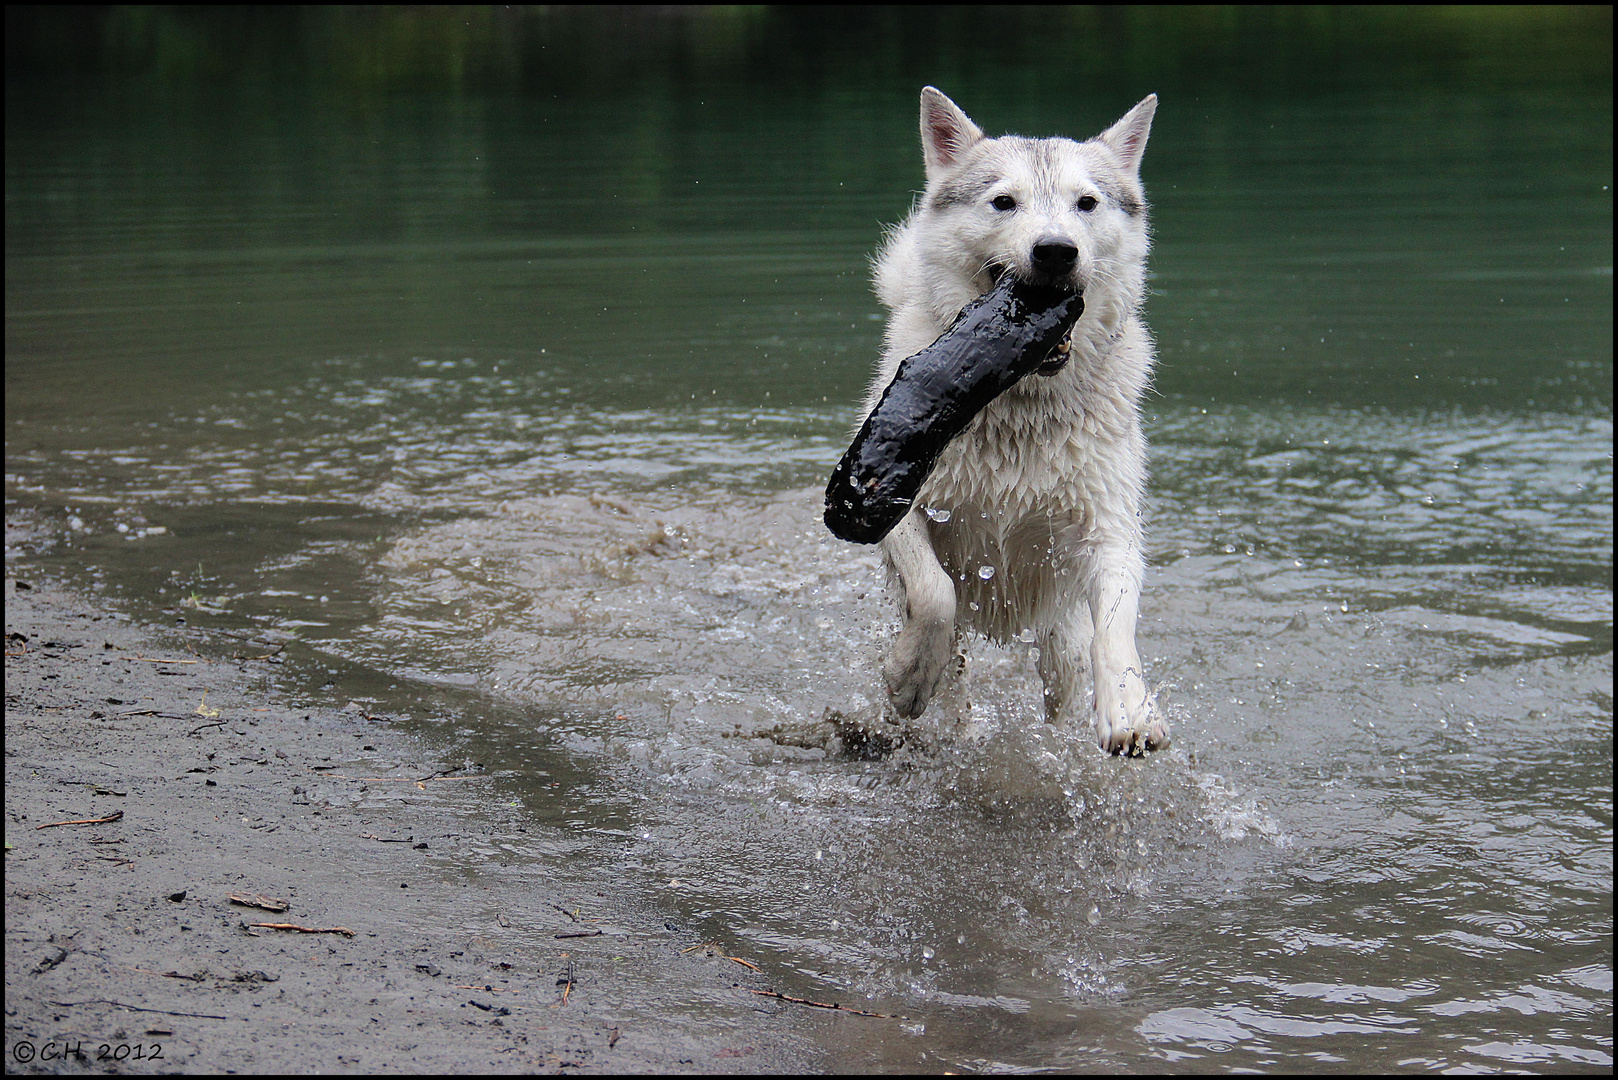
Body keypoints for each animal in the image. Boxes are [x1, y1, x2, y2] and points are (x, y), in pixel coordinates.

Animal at [867, 88, 1171, 757]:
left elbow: (1117, 623)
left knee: (1064, 672)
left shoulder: (1109, 529)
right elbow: (934, 595)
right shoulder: (893, 503)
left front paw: (1131, 709)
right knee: (955, 673)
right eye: (1003, 202)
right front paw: (908, 676)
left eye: (1087, 203)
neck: (1018, 399)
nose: (1056, 250)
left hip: (1058, 627)